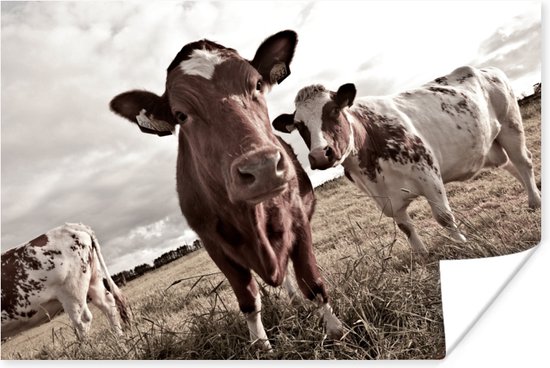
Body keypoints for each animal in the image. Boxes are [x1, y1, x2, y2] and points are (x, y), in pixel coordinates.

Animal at [1, 221, 130, 340]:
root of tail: (69, 226)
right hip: (94, 281)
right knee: (108, 303)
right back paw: (119, 337)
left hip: (71, 293)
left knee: (82, 321)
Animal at [109, 30, 342, 350]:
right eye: (181, 115)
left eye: (258, 84)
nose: (262, 167)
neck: (250, 217)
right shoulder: (213, 245)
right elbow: (249, 301)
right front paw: (261, 347)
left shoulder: (297, 220)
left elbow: (312, 283)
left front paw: (337, 332)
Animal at [274, 66, 540, 254]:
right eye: (299, 125)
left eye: (333, 110)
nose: (320, 154)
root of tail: (486, 69)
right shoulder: (383, 199)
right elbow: (405, 227)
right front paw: (421, 255)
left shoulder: (428, 174)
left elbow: (444, 217)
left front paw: (462, 243)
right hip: (491, 145)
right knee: (510, 165)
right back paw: (532, 196)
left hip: (510, 125)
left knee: (523, 162)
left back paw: (535, 201)